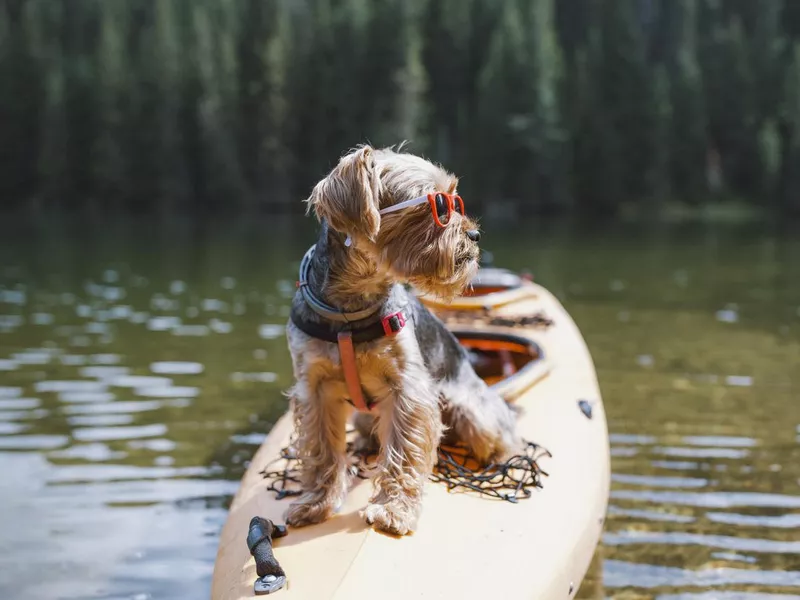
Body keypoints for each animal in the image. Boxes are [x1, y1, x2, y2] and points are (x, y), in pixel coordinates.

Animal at [282, 144, 520, 536]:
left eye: (455, 200)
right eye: (437, 204)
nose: (474, 236)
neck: (350, 310)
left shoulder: (407, 388)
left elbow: (404, 449)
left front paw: (394, 509)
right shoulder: (313, 388)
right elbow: (321, 449)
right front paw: (316, 503)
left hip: (473, 412)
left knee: (501, 433)